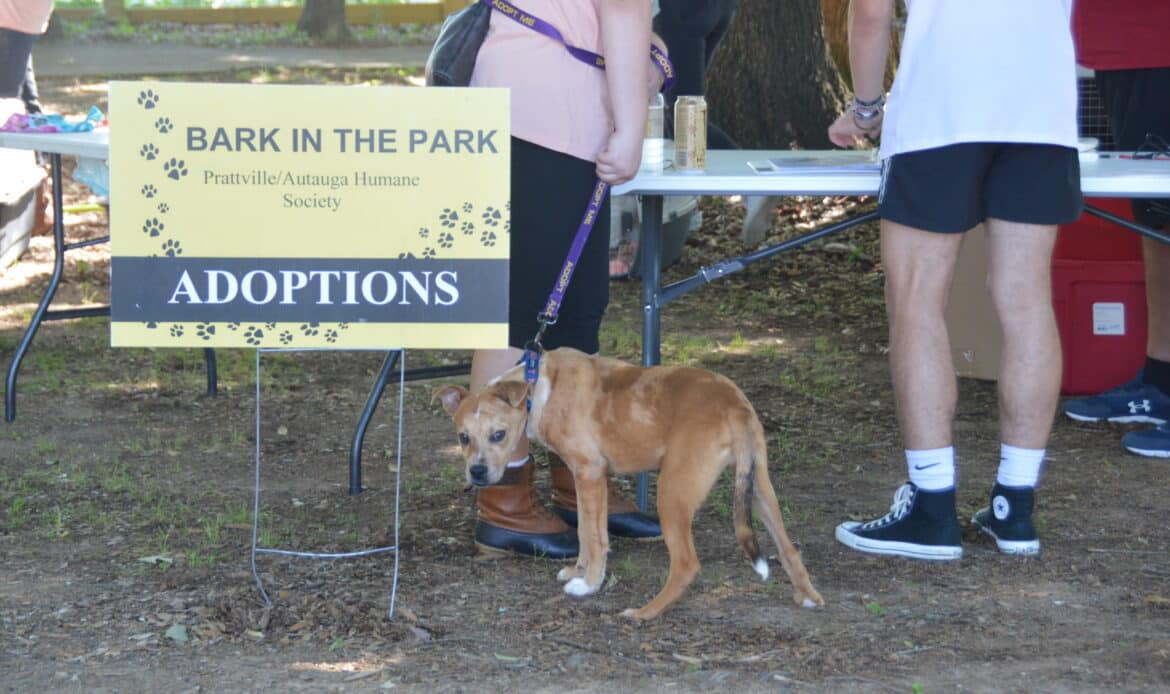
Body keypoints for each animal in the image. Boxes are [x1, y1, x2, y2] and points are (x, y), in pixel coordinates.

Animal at [432, 347, 824, 620]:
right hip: (758, 485)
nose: (477, 473)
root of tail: (734, 405)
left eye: (498, 435)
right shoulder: (586, 478)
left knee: (686, 564)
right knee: (788, 547)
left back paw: (644, 612)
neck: (538, 389)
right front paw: (579, 571)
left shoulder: (589, 472)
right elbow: (585, 531)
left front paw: (589, 585)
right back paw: (808, 596)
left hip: (673, 493)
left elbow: (593, 536)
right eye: (463, 438)